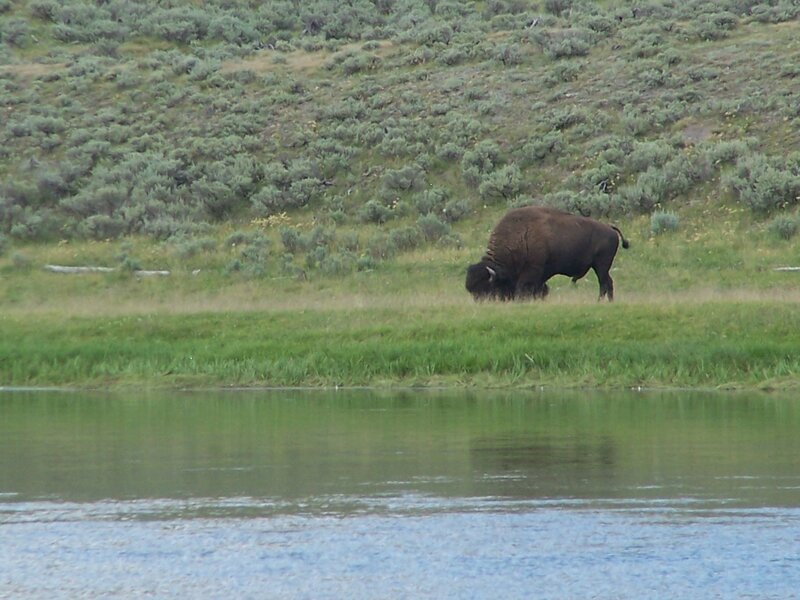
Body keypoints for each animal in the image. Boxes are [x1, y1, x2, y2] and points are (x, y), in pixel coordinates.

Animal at [465, 206, 629, 301]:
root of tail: (610, 228)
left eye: (486, 289)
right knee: (608, 283)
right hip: (600, 267)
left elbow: (523, 288)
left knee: (604, 283)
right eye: (472, 291)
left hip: (601, 265)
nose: (481, 302)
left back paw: (599, 301)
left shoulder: (532, 271)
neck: (520, 236)